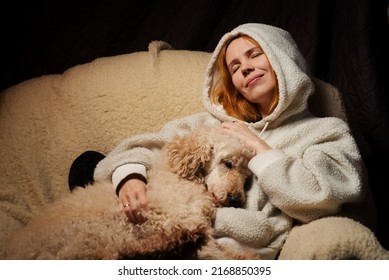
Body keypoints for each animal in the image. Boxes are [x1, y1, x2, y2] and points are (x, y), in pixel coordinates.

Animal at [4, 126, 256, 260]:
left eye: (247, 177)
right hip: (95, 234)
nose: (236, 200)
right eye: (227, 163)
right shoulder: (178, 219)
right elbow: (217, 252)